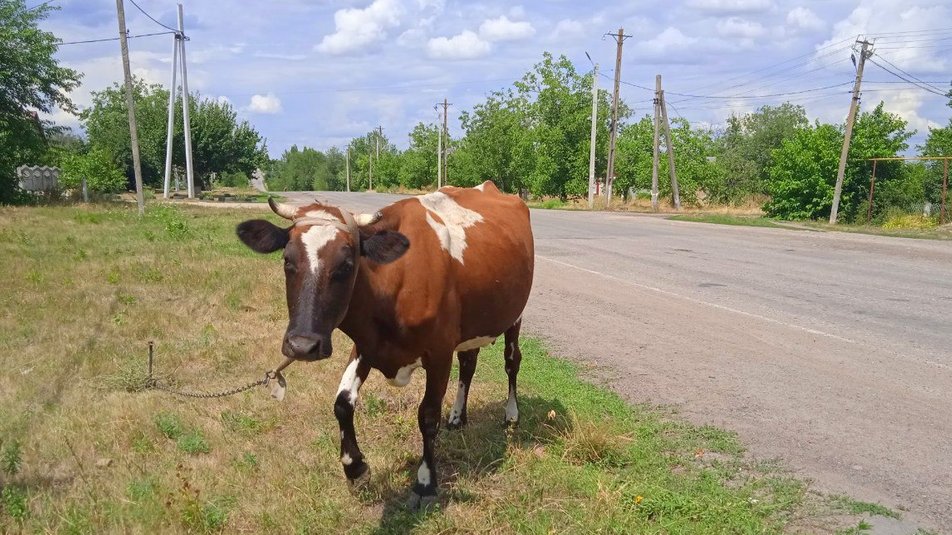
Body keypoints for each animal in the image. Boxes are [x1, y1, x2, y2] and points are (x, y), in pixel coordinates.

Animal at [236, 182, 536, 508]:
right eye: (287, 261)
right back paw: (458, 417)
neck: (393, 285)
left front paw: (425, 483)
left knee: (512, 361)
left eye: (347, 265)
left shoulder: (440, 352)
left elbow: (428, 415)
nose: (302, 345)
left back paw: (511, 415)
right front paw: (355, 468)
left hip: (516, 314)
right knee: (469, 362)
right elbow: (342, 402)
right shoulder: (367, 344)